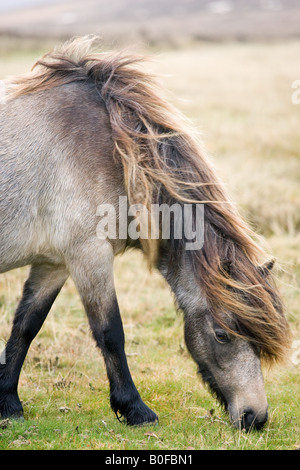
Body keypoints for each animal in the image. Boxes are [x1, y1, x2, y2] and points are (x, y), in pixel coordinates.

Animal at [0, 36, 290, 430]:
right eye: (221, 335)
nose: (254, 417)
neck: (113, 153)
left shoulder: (55, 263)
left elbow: (26, 326)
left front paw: (8, 403)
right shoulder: (88, 255)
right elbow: (110, 332)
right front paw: (135, 409)